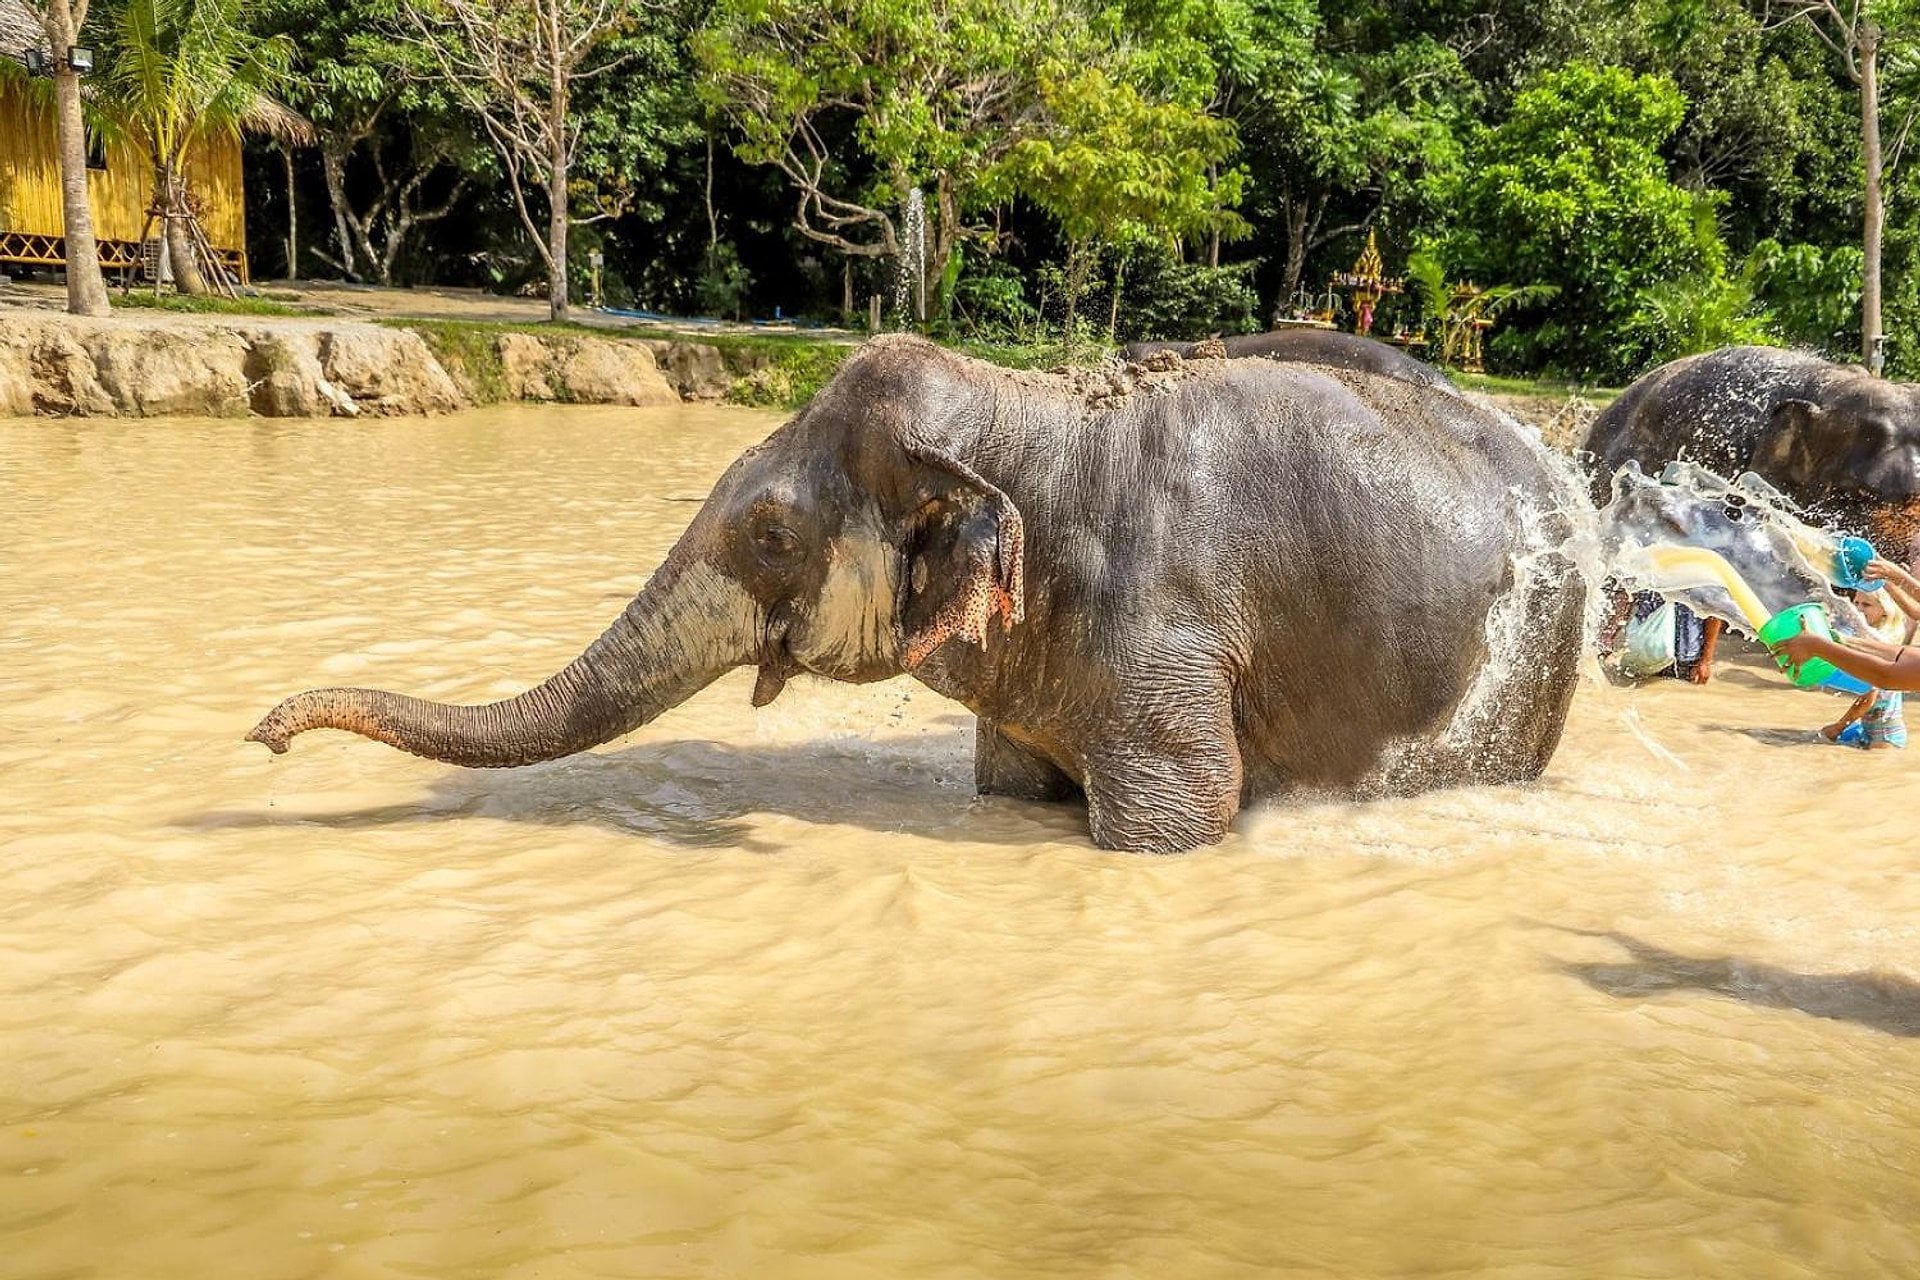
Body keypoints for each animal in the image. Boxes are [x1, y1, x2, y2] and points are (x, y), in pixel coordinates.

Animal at [248, 335, 1588, 853]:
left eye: (771, 532)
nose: (263, 733)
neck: (1032, 411)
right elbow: (1008, 786)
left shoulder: (1168, 643)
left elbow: (1184, 816)